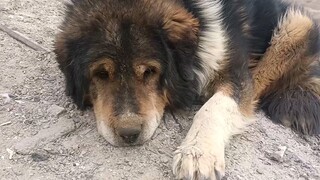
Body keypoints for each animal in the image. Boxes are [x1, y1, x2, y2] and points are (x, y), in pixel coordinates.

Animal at [55, 0, 320, 179]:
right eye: (100, 74)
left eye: (150, 71)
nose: (129, 133)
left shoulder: (235, 74)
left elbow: (214, 107)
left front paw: (198, 152)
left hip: (295, 24)